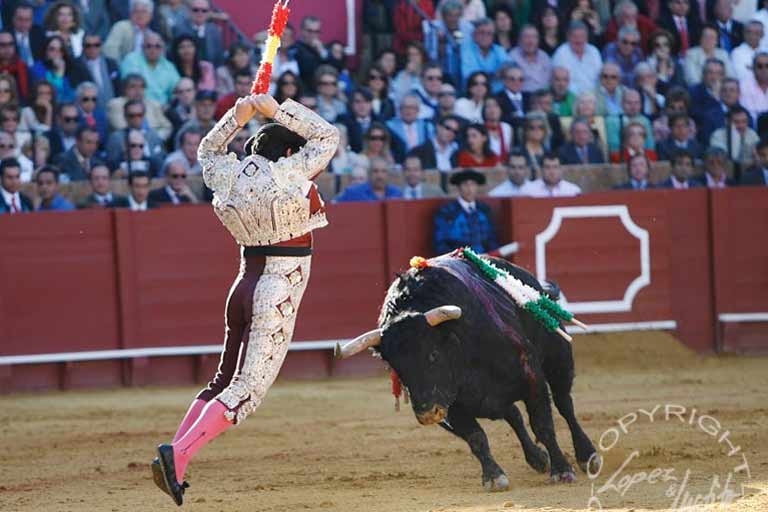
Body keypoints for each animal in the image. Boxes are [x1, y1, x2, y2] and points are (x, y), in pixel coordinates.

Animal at [342, 256, 600, 492]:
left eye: (433, 354)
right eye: (395, 367)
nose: (427, 414)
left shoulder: (531, 376)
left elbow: (543, 425)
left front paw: (562, 470)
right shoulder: (450, 405)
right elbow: (476, 437)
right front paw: (494, 477)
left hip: (559, 357)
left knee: (564, 404)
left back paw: (587, 456)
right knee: (514, 415)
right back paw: (537, 458)